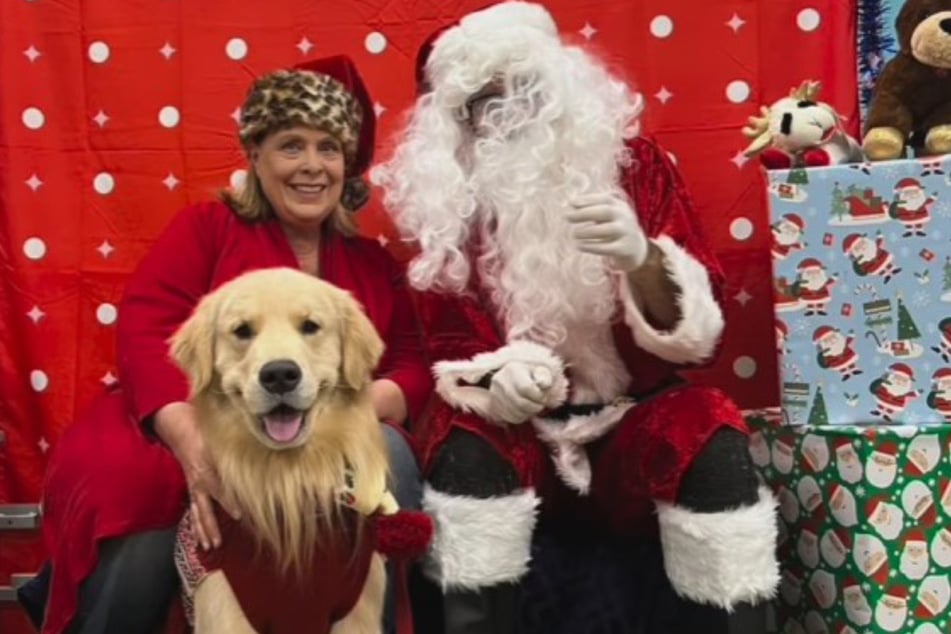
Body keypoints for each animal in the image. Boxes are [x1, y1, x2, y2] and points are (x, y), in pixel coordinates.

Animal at [169, 266, 392, 632]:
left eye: (310, 326)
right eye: (242, 331)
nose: (279, 375)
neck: (288, 480)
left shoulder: (355, 612)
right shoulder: (226, 612)